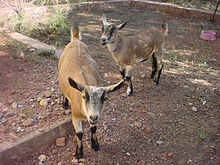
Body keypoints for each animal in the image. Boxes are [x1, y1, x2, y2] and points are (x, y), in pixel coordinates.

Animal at [58, 25, 124, 159]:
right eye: (84, 97)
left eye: (105, 98)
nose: (93, 116)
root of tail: (76, 39)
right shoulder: (75, 116)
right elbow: (79, 133)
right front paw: (79, 153)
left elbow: (94, 129)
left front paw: (95, 145)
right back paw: (64, 103)